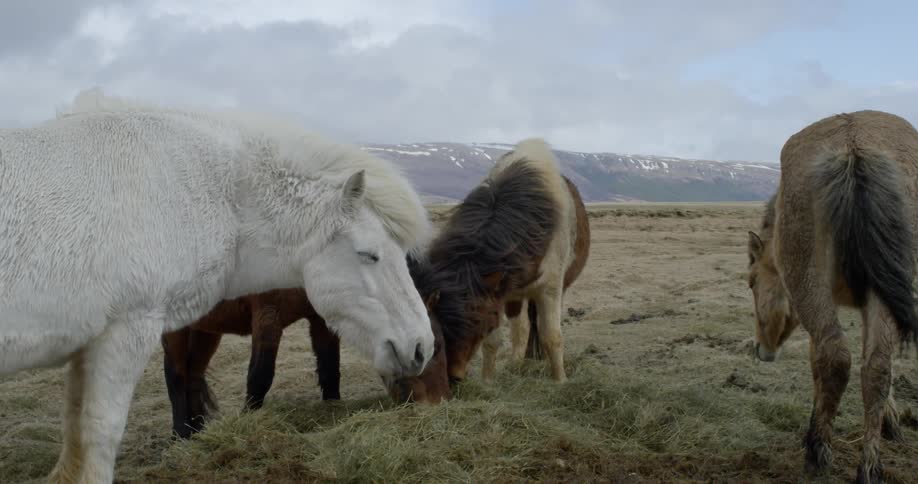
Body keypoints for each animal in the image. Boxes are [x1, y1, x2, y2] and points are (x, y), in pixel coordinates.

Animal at [0, 88, 435, 483]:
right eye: (369, 254)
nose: (421, 347)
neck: (189, 188)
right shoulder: (125, 333)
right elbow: (99, 439)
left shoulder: (87, 347)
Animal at [384, 138, 590, 404]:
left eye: (477, 323)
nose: (454, 377)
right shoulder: (499, 296)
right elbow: (494, 342)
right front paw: (488, 382)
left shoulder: (550, 291)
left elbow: (552, 336)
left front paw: (560, 382)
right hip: (514, 296)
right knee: (521, 328)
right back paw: (518, 362)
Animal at [746, 110, 918, 483]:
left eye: (751, 282)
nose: (760, 350)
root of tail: (854, 147)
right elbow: (880, 365)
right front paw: (890, 424)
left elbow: (817, 365)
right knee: (876, 368)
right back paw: (869, 466)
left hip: (811, 288)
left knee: (834, 357)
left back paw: (817, 451)